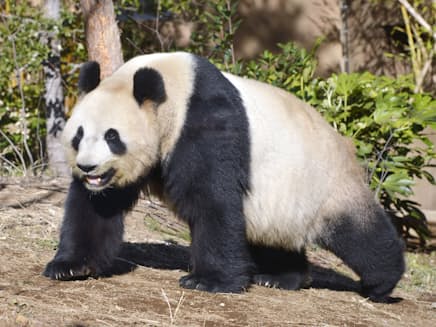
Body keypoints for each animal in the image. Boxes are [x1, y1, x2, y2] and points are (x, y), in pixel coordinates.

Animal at [44, 52, 406, 302]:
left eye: (112, 136)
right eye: (78, 135)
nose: (88, 168)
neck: (172, 89)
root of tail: (346, 147)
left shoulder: (204, 120)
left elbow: (212, 199)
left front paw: (208, 281)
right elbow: (97, 208)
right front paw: (70, 266)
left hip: (323, 184)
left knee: (358, 233)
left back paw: (382, 282)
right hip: (281, 202)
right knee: (274, 237)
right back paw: (281, 277)